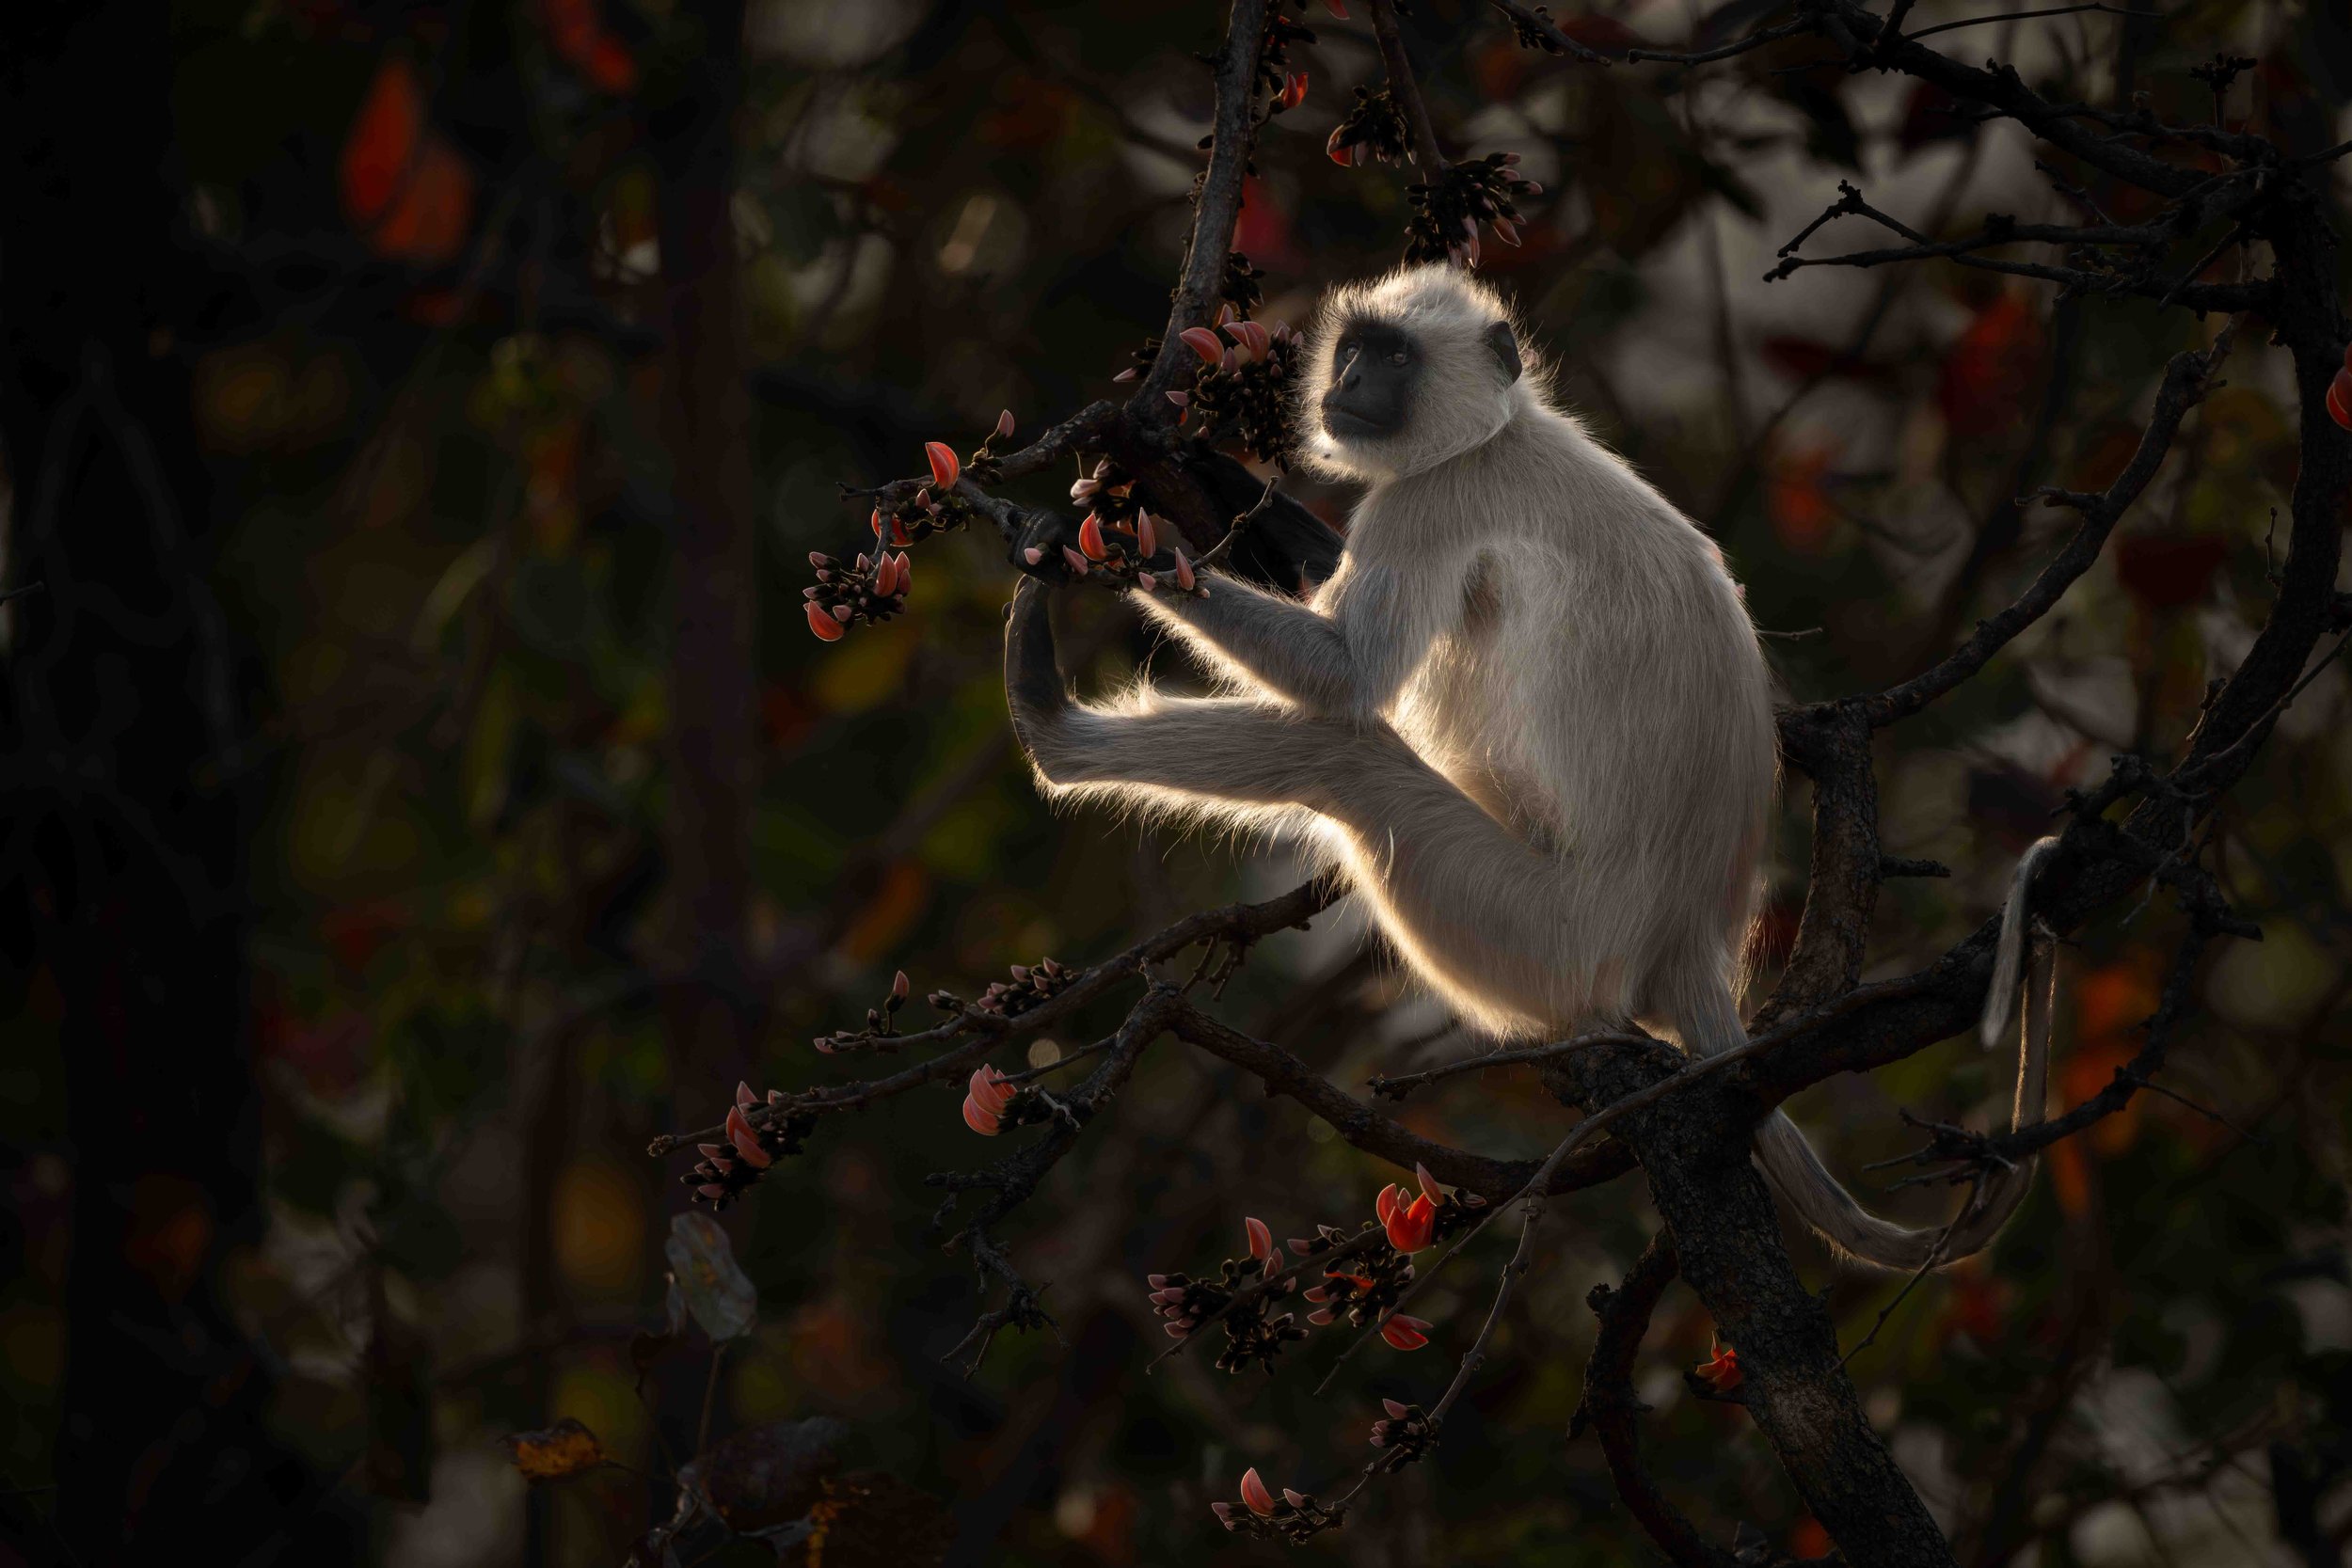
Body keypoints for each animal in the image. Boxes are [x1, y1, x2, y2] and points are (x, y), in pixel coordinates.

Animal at [1002, 265, 2056, 1271]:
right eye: (1354, 350)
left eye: (1390, 359)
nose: (1348, 384)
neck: (1498, 433)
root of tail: (1688, 946)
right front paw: (1194, 468)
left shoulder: (1431, 500)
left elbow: (1346, 677)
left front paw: (1124, 551)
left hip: (1541, 936)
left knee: (1339, 753)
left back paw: (1047, 722)